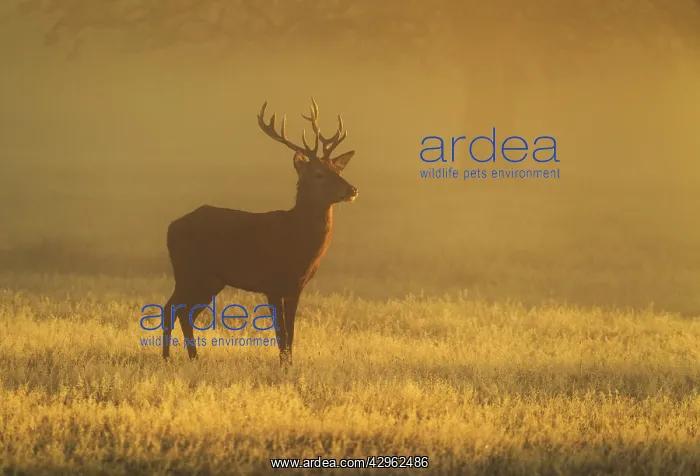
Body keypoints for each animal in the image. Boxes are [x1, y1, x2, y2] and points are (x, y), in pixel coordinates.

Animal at [161, 98, 358, 367]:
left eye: (338, 170)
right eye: (319, 174)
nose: (352, 190)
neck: (298, 241)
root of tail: (171, 228)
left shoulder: (296, 287)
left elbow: (291, 332)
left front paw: (290, 365)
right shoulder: (272, 283)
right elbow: (281, 333)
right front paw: (283, 367)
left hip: (210, 280)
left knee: (184, 311)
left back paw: (192, 358)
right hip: (188, 271)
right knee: (171, 308)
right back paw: (168, 358)